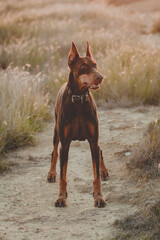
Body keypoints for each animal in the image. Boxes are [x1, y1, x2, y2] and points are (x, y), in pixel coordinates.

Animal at [46, 41, 109, 206]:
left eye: (95, 64)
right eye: (84, 67)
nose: (101, 77)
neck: (79, 98)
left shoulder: (93, 140)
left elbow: (96, 174)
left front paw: (99, 197)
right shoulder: (65, 143)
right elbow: (63, 176)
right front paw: (61, 197)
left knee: (100, 150)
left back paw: (104, 171)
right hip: (56, 132)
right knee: (54, 152)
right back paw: (51, 173)